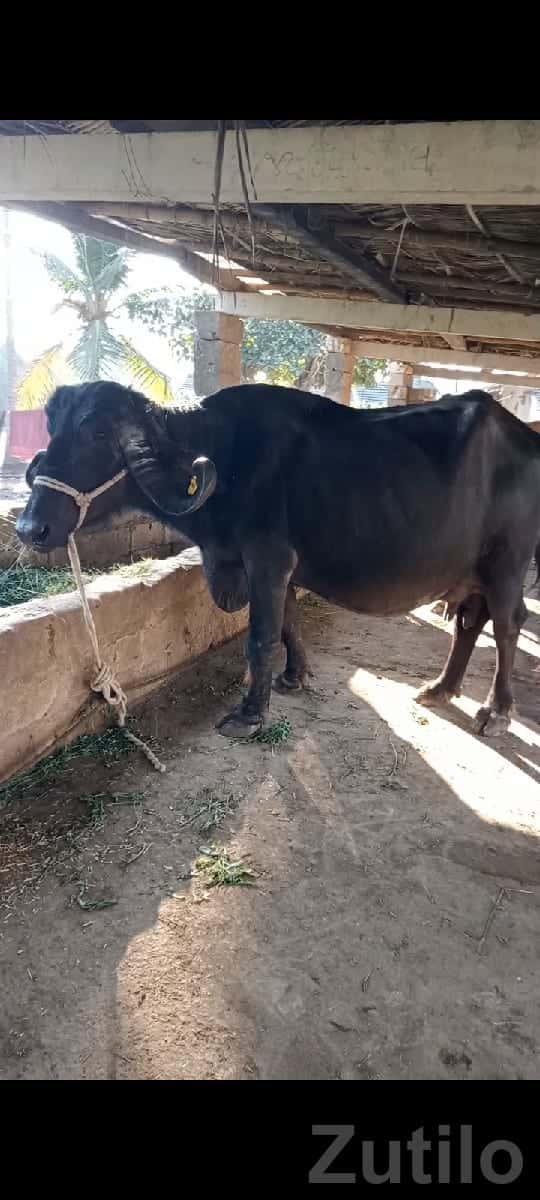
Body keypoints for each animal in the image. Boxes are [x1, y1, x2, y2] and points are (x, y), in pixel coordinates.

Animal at [16, 382, 540, 739]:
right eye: (52, 427)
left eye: (98, 432)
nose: (30, 528)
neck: (225, 459)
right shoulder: (279, 569)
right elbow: (288, 624)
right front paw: (294, 677)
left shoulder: (267, 560)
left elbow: (261, 637)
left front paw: (249, 713)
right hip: (471, 572)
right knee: (470, 622)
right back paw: (441, 687)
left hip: (507, 564)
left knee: (508, 624)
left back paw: (496, 712)